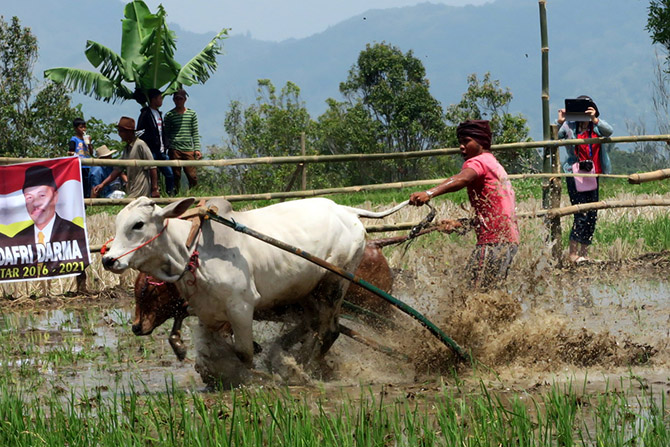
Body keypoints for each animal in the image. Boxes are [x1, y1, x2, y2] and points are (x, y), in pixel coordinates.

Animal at [100, 198, 404, 386]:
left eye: (138, 224)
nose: (108, 259)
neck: (192, 251)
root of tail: (347, 210)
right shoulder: (209, 314)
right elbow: (207, 355)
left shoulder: (241, 309)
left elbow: (244, 353)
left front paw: (260, 376)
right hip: (310, 294)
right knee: (320, 327)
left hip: (335, 284)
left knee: (329, 331)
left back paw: (301, 369)